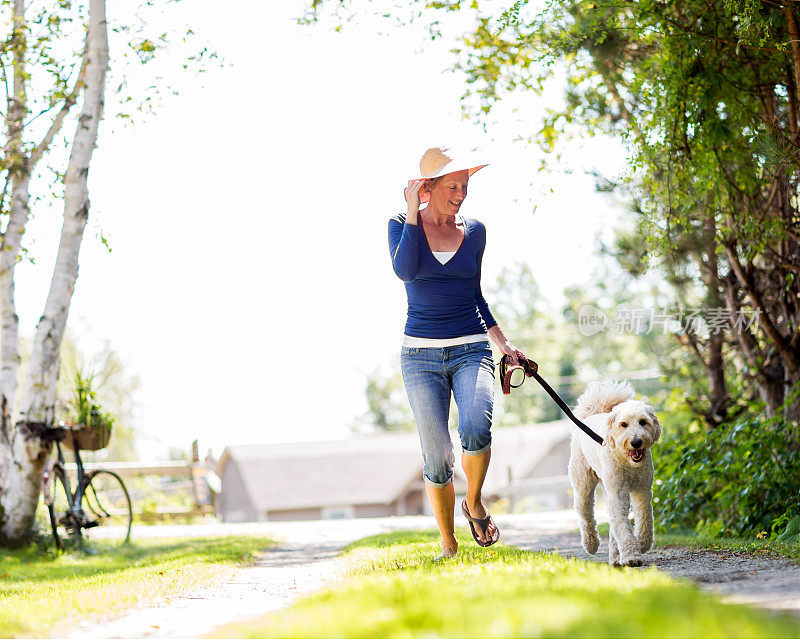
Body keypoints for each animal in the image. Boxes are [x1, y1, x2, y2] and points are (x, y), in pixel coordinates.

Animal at [568, 378, 664, 568]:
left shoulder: (642, 489)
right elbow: (621, 524)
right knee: (586, 516)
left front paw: (643, 543)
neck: (627, 462)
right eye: (623, 424)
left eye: (643, 421)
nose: (636, 442)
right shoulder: (618, 492)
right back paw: (591, 544)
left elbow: (645, 518)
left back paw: (615, 556)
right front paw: (631, 556)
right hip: (584, 486)